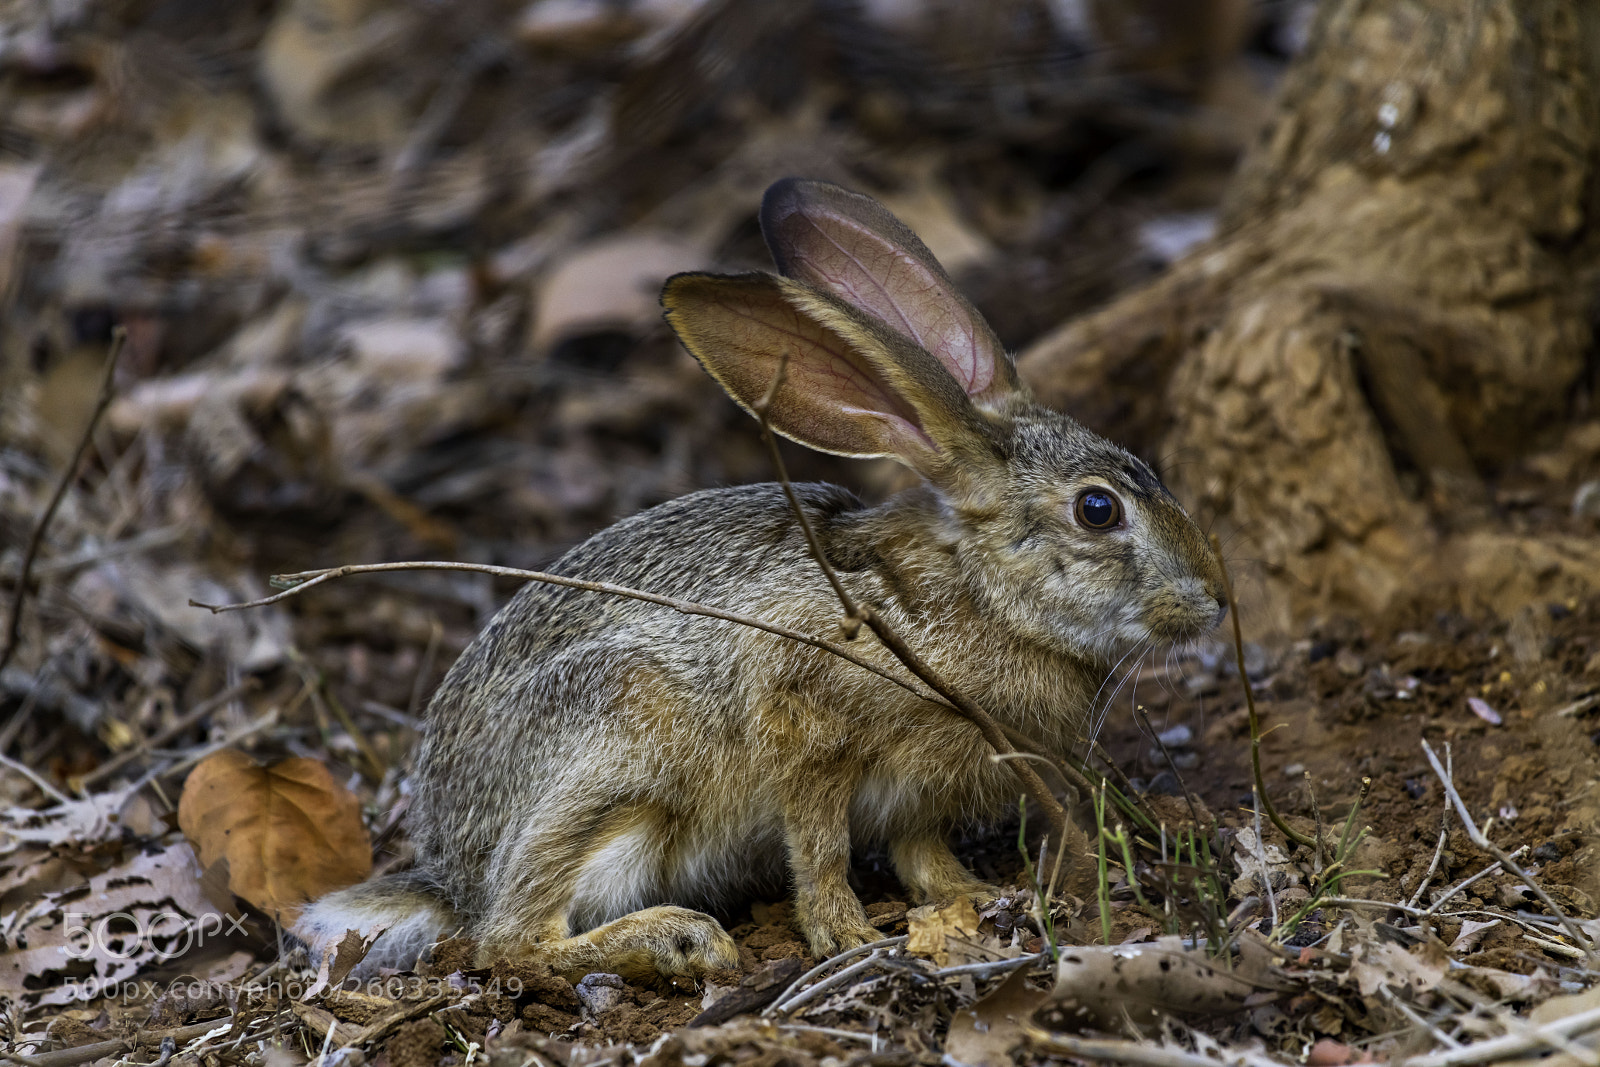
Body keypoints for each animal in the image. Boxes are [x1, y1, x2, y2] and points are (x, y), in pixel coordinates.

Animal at [291, 178, 1226, 982]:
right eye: (1098, 509)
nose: (1215, 601)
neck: (979, 591)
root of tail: (449, 871)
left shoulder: (920, 795)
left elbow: (923, 853)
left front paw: (972, 896)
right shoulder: (806, 718)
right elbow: (818, 843)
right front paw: (847, 933)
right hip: (619, 736)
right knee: (508, 936)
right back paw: (675, 940)